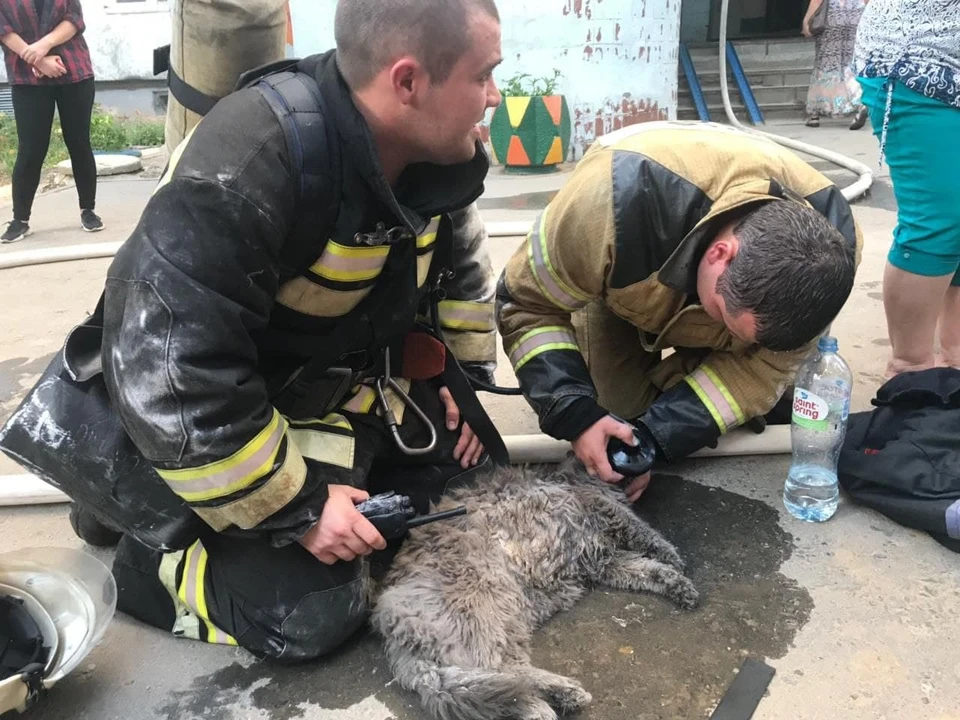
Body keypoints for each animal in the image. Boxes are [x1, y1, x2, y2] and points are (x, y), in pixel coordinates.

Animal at [374, 462, 696, 720]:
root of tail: (392, 626)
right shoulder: (599, 508)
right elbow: (644, 533)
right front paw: (672, 556)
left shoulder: (606, 562)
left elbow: (648, 570)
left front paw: (678, 584)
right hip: (488, 607)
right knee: (502, 673)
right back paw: (557, 696)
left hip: (501, 622)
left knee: (491, 679)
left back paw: (545, 702)